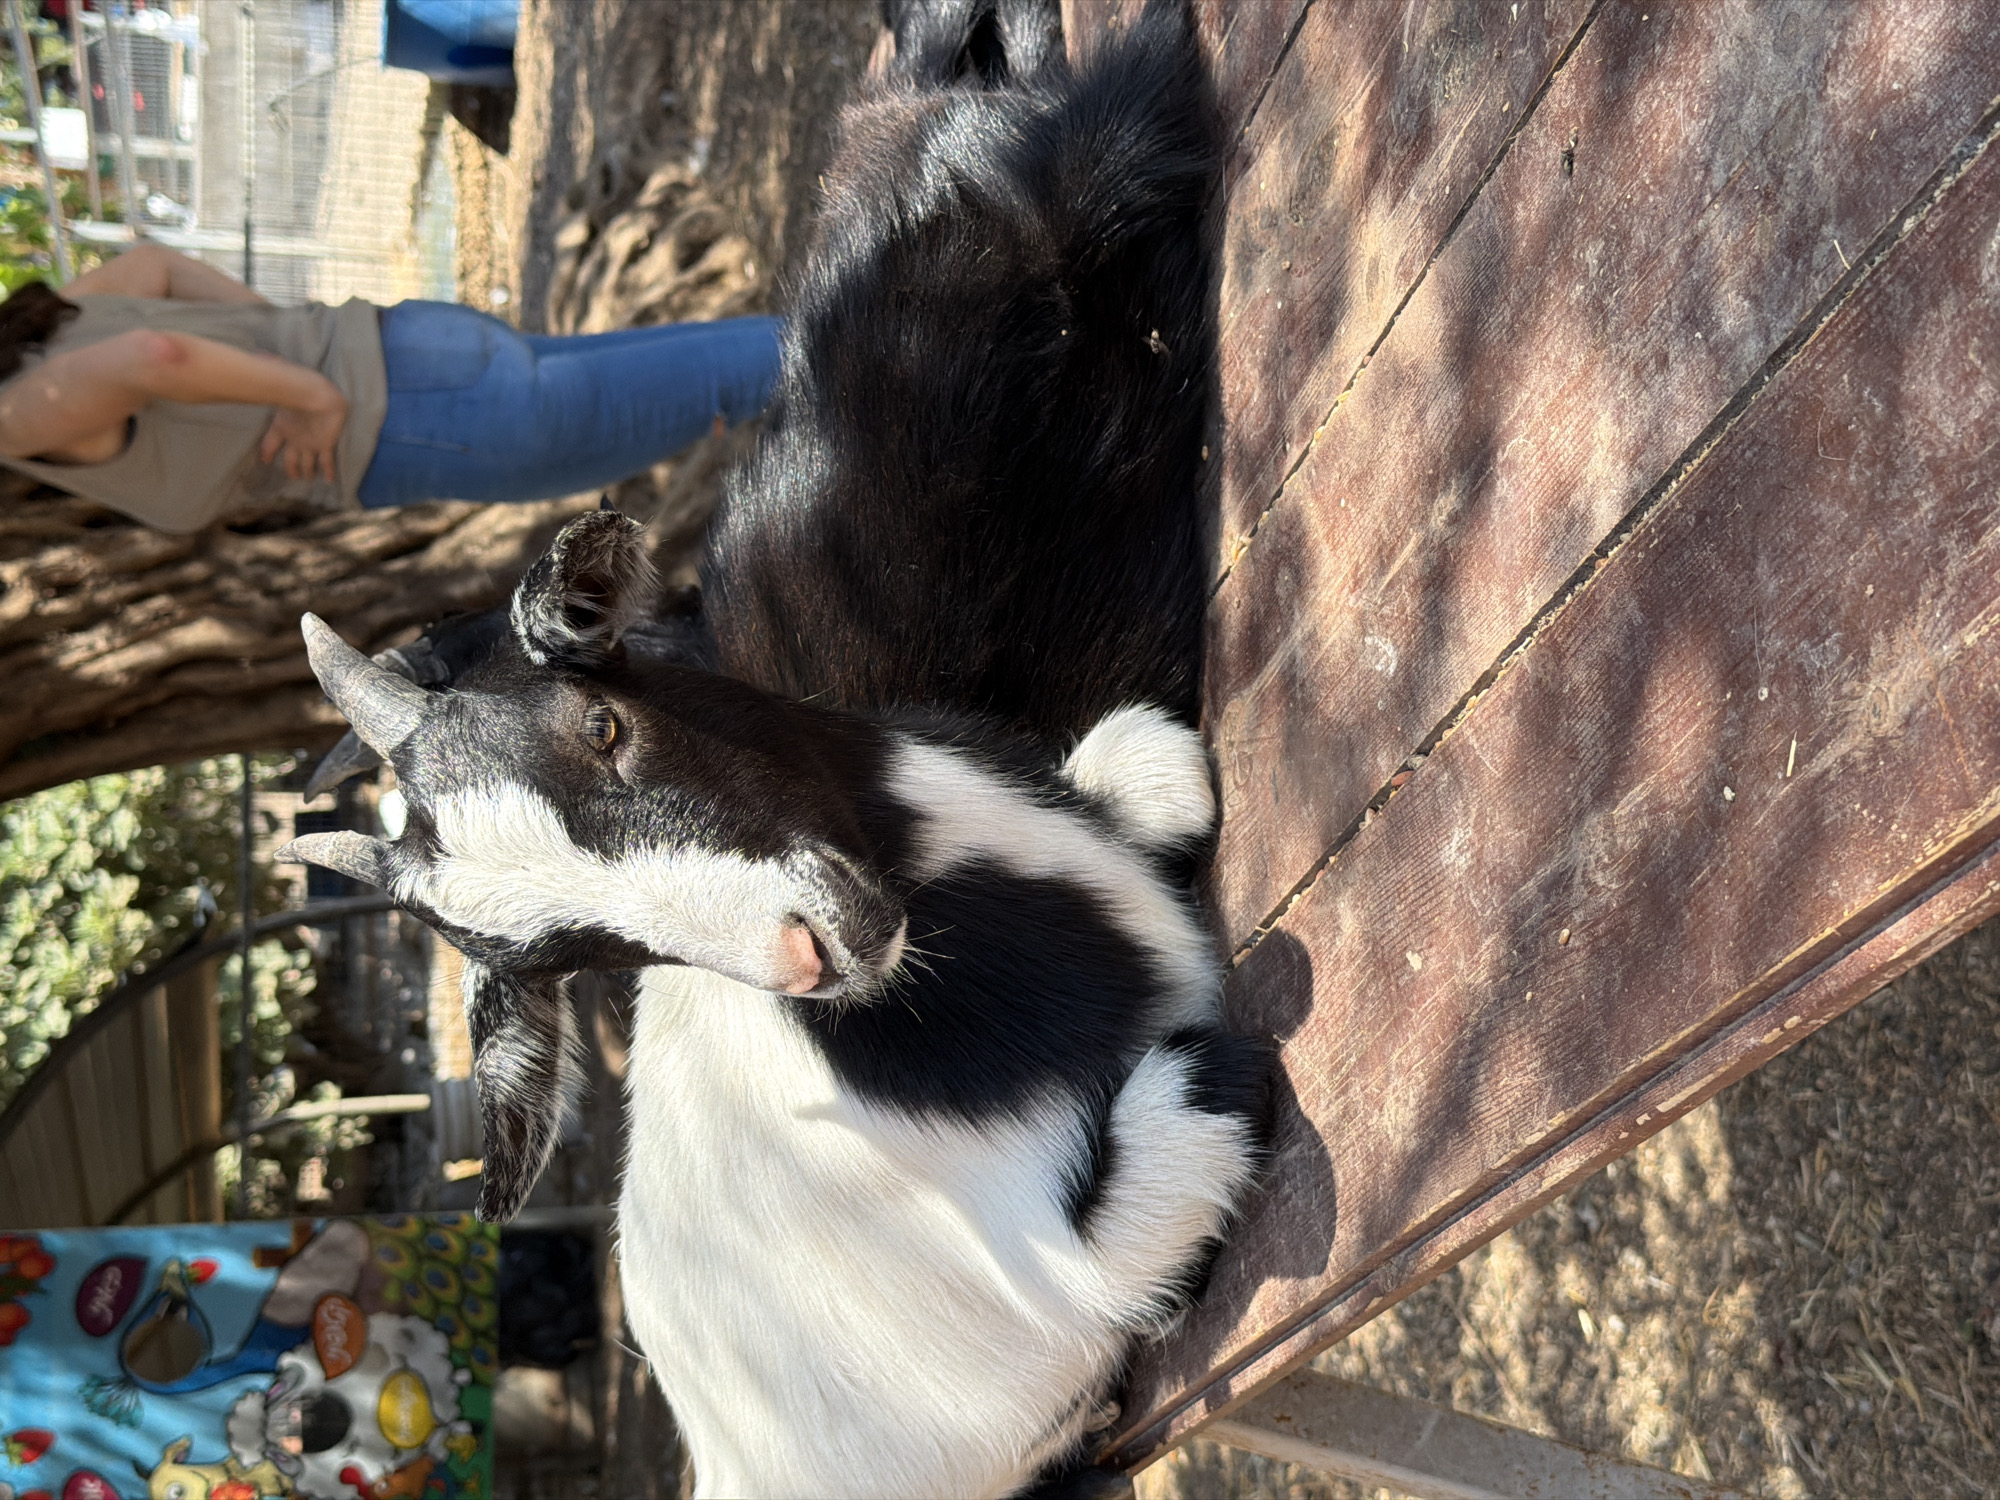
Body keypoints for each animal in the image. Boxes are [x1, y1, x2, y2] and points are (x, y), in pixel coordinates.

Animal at [281, 3, 1264, 1495]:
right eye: (579, 957)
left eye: (602, 723)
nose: (809, 954)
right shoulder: (1068, 1269)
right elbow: (1203, 1097)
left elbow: (1147, 762)